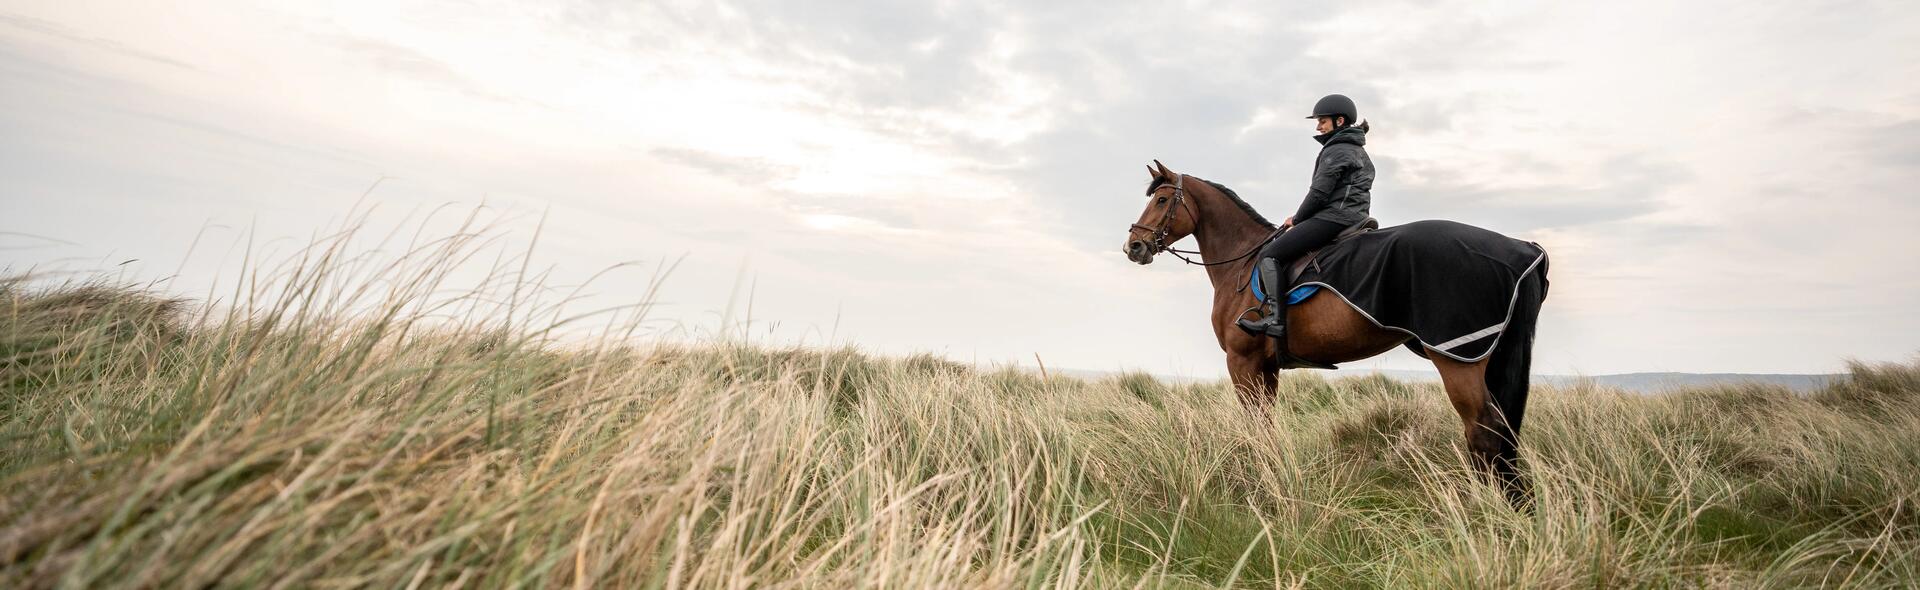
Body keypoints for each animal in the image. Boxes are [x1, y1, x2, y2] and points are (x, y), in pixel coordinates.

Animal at [1121, 161, 1551, 507]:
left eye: (1162, 200)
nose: (1134, 246)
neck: (1242, 261)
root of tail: (1521, 249)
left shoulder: (1242, 362)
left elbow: (1254, 428)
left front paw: (1256, 484)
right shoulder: (1266, 367)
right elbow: (1267, 427)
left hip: (1457, 357)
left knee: (1484, 431)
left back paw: (1486, 511)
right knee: (1500, 433)